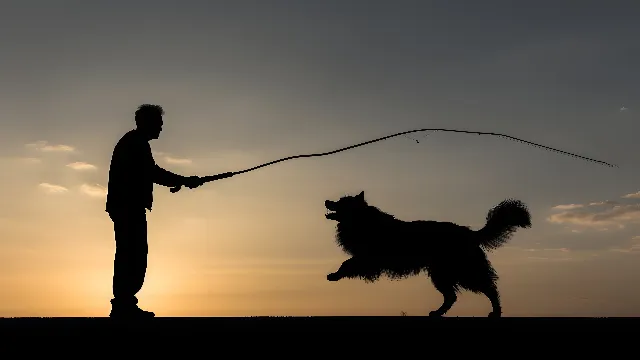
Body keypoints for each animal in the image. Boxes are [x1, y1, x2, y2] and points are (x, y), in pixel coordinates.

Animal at [324, 191, 528, 318]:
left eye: (342, 202)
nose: (326, 201)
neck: (362, 220)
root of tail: (470, 233)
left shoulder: (367, 258)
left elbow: (347, 264)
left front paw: (334, 275)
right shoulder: (366, 258)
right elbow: (348, 263)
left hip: (463, 272)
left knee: (489, 288)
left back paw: (496, 311)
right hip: (442, 274)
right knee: (451, 296)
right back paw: (437, 313)